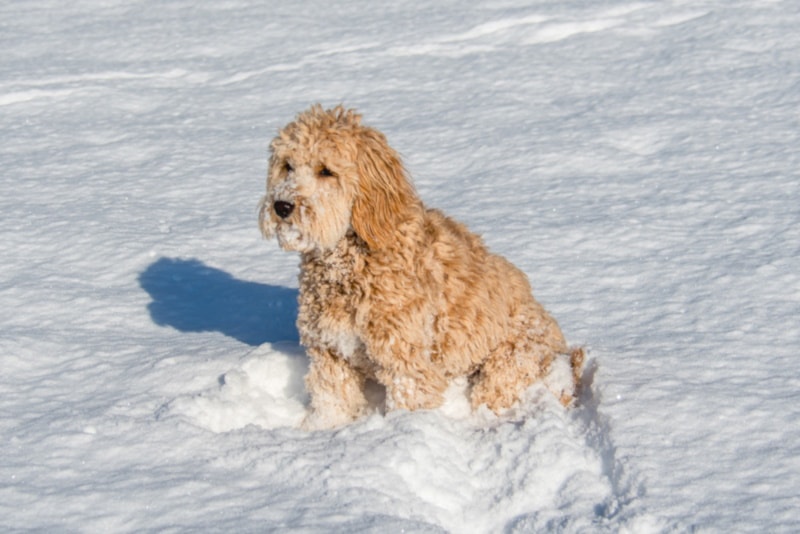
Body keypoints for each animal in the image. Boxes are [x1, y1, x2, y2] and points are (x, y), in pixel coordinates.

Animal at [260, 105, 584, 432]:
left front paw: (403, 433)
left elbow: (408, 399)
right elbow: (332, 400)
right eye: (287, 166)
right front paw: (320, 431)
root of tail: (566, 361)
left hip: (507, 365)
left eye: (326, 170)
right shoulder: (330, 351)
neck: (349, 260)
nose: (282, 206)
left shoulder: (404, 356)